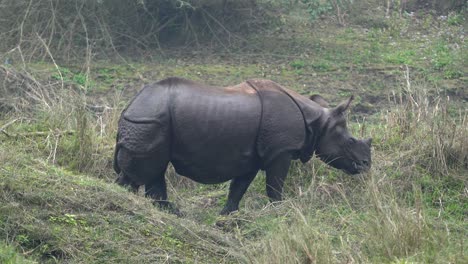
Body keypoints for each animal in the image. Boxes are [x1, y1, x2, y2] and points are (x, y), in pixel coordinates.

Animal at [112, 77, 370, 214]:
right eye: (350, 141)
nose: (366, 164)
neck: (317, 122)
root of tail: (131, 105)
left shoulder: (251, 157)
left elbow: (238, 188)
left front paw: (227, 216)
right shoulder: (281, 151)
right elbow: (275, 186)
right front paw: (281, 211)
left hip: (150, 121)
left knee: (154, 169)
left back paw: (168, 212)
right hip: (148, 121)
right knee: (144, 171)